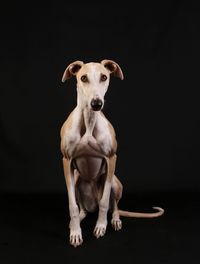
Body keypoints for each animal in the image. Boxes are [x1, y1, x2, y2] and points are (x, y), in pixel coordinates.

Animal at [59, 59, 164, 248]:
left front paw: (101, 226)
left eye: (104, 77)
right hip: (77, 179)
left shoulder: (111, 159)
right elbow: (72, 206)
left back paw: (114, 219)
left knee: (113, 206)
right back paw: (80, 218)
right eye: (83, 78)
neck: (89, 121)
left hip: (115, 182)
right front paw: (75, 233)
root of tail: (91, 206)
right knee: (82, 208)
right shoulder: (66, 161)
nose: (96, 104)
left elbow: (104, 201)